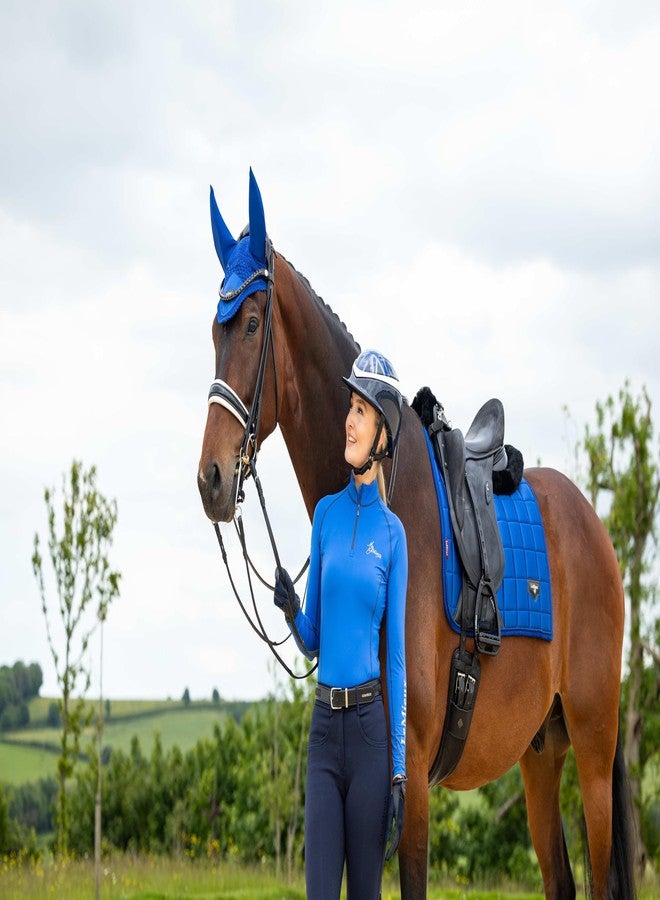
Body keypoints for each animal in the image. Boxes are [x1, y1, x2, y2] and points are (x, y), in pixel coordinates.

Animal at [197, 174, 635, 899]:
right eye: (213, 330)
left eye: (252, 324)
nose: (209, 476)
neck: (379, 496)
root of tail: (595, 533)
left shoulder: (412, 790)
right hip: (542, 753)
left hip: (595, 753)